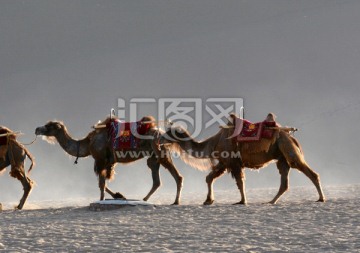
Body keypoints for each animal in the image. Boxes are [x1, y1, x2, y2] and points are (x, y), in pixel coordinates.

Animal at [34, 115, 207, 205]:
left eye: (49, 126)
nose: (37, 129)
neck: (87, 143)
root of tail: (163, 133)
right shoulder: (109, 162)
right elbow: (104, 182)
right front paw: (119, 195)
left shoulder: (100, 160)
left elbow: (101, 183)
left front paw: (103, 199)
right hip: (153, 156)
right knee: (156, 180)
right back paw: (144, 199)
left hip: (161, 153)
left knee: (177, 176)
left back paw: (175, 201)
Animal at [163, 113, 326, 205]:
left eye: (169, 132)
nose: (160, 139)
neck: (213, 142)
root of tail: (290, 135)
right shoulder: (224, 163)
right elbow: (209, 178)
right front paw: (208, 200)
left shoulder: (233, 162)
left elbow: (240, 182)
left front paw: (242, 201)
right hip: (281, 157)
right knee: (284, 181)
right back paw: (270, 201)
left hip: (287, 149)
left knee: (309, 172)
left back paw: (321, 198)